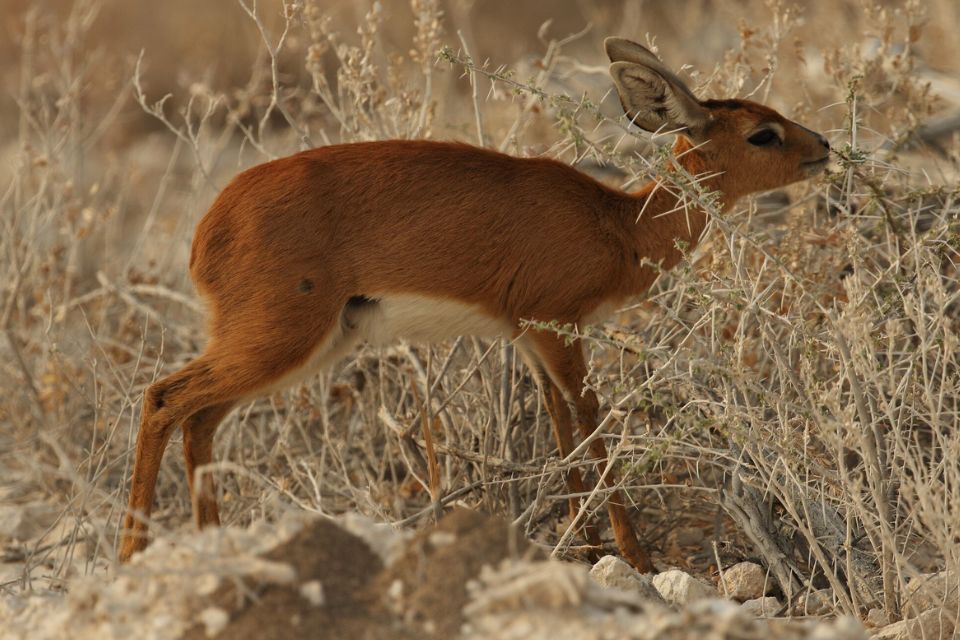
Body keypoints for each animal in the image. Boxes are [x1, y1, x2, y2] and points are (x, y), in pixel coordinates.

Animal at [118, 38, 824, 568]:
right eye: (763, 133)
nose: (823, 147)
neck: (619, 224)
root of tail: (207, 229)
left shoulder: (531, 339)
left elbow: (560, 429)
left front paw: (587, 546)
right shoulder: (561, 329)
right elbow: (591, 423)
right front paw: (636, 555)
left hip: (300, 346)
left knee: (201, 418)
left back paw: (211, 548)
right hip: (280, 338)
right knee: (163, 397)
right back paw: (131, 555)